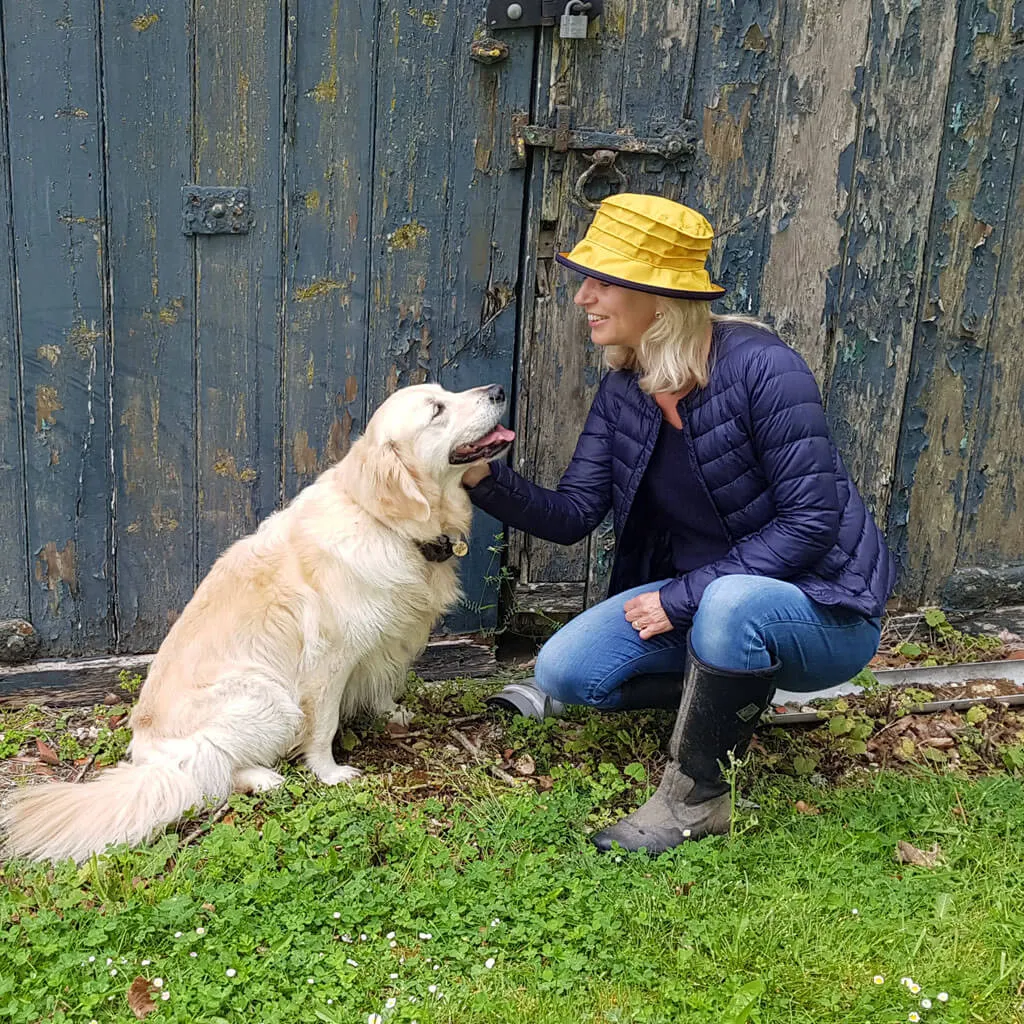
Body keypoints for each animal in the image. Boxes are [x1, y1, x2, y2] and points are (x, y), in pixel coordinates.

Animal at [0, 380, 512, 860]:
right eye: (437, 410)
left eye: (445, 391)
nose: (498, 390)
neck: (387, 523)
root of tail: (149, 754)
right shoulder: (328, 663)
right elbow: (323, 727)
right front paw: (331, 773)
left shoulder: (386, 640)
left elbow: (385, 682)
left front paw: (392, 712)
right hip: (269, 700)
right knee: (212, 772)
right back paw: (265, 778)